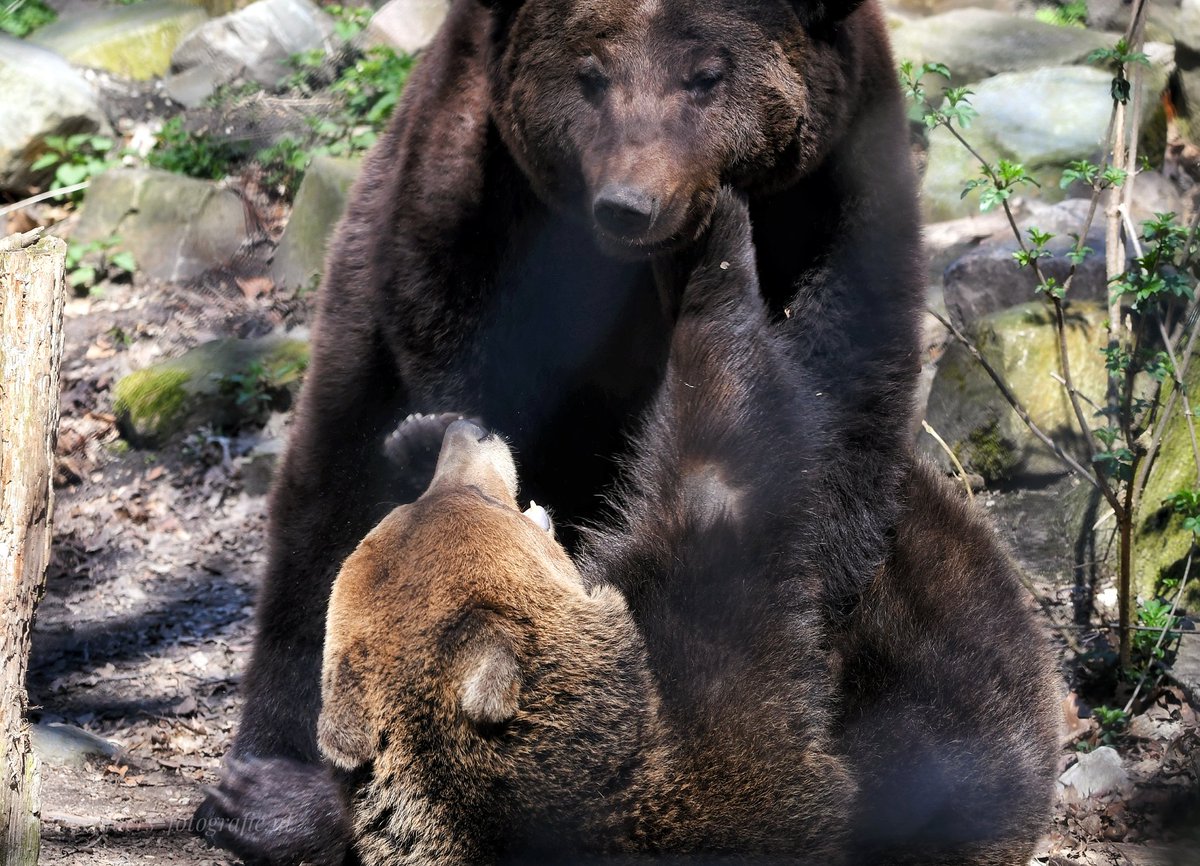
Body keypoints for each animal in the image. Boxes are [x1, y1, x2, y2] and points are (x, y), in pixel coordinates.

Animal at [200, 0, 924, 857]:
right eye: (591, 73)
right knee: (323, 512)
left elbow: (827, 426)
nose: (631, 203)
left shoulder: (833, 204)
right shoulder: (479, 218)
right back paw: (269, 796)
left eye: (707, 74)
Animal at [308, 193, 1058, 865]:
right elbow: (721, 464)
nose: (468, 434)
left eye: (449, 495)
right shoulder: (711, 700)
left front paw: (413, 436)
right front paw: (715, 251)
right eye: (478, 502)